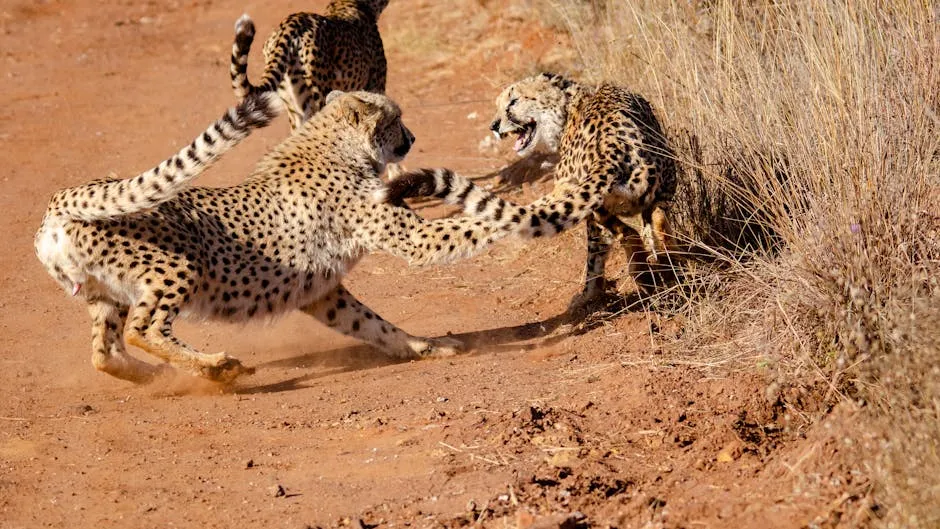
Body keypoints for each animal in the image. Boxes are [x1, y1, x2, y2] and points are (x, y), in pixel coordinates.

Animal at [36, 88, 536, 382]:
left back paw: (155, 376)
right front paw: (537, 210)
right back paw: (216, 367)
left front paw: (422, 346)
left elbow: (372, 323)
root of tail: (63, 196)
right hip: (176, 266)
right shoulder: (408, 238)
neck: (333, 145)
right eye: (395, 121)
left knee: (104, 353)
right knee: (144, 329)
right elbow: (469, 225)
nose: (410, 138)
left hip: (105, 292)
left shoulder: (320, 290)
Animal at [378, 74, 680, 306]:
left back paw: (649, 272)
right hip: (650, 189)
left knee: (633, 231)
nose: (494, 125)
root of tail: (611, 149)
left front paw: (589, 294)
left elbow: (596, 250)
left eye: (514, 101)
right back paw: (665, 267)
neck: (571, 105)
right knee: (652, 224)